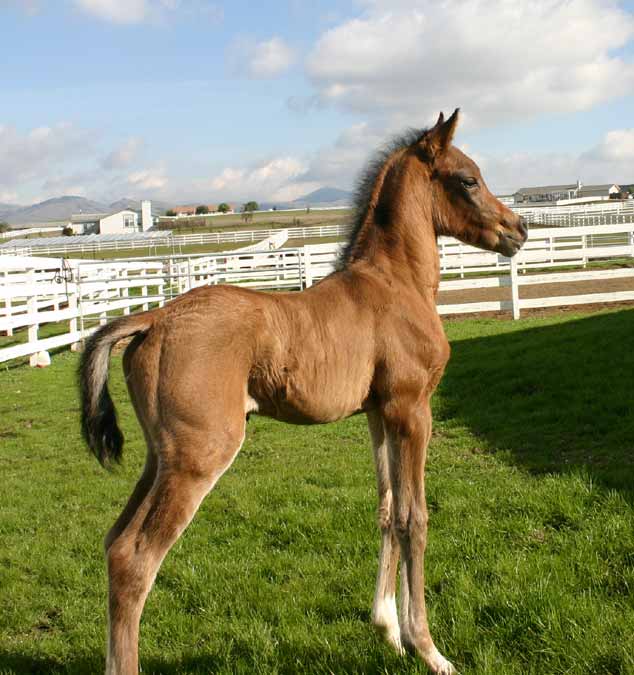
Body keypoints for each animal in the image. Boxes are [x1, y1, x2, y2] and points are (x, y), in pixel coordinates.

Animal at [78, 108, 524, 672]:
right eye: (467, 180)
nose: (518, 229)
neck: (396, 283)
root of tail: (152, 319)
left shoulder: (378, 413)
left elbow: (386, 508)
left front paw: (388, 629)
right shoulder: (412, 409)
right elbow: (414, 517)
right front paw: (428, 648)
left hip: (159, 458)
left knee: (113, 542)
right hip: (200, 456)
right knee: (135, 558)